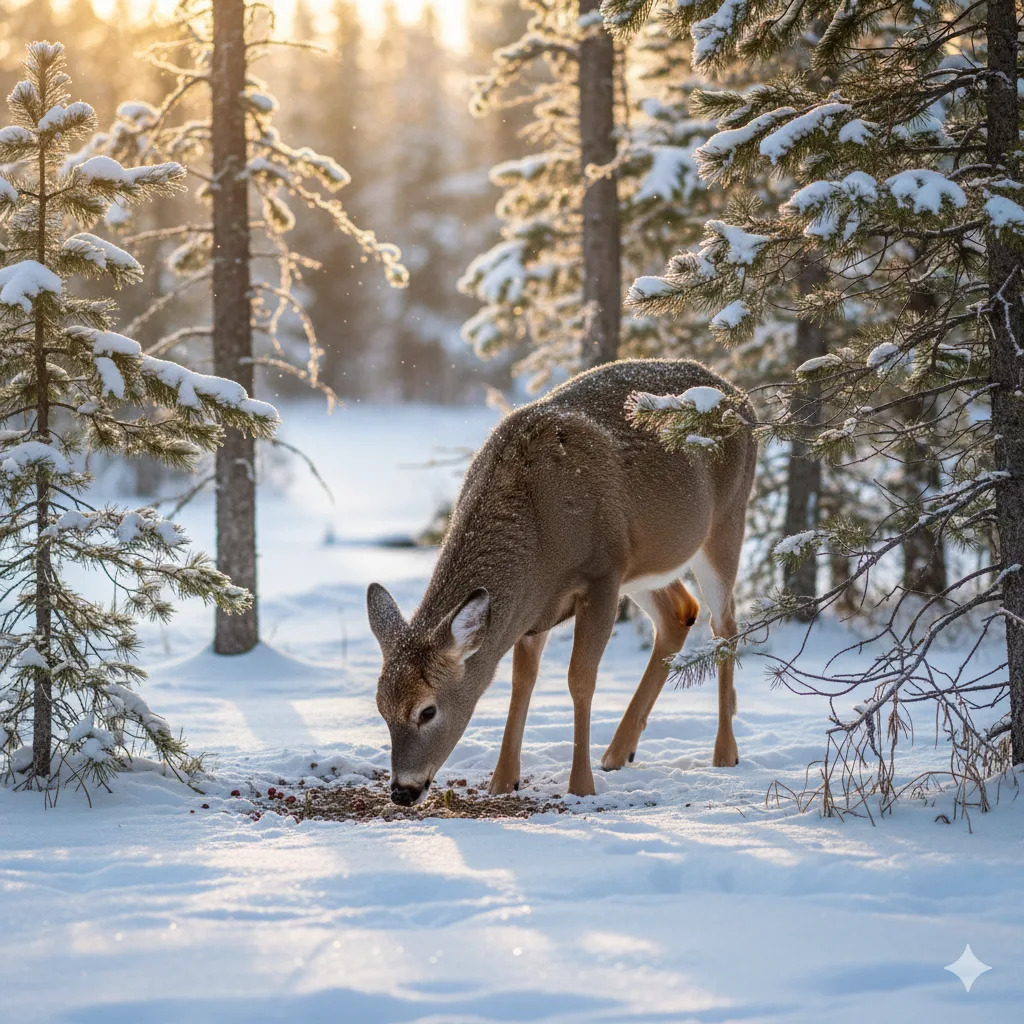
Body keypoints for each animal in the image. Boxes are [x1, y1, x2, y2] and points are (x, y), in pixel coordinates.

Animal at [367, 359, 757, 805]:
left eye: (427, 710)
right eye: (381, 708)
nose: (402, 791)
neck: (539, 532)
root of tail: (740, 396)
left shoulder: (602, 572)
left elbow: (580, 679)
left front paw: (581, 787)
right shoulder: (534, 607)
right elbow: (522, 682)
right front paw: (503, 782)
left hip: (726, 520)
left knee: (724, 624)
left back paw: (724, 752)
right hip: (645, 562)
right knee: (680, 612)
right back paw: (618, 752)